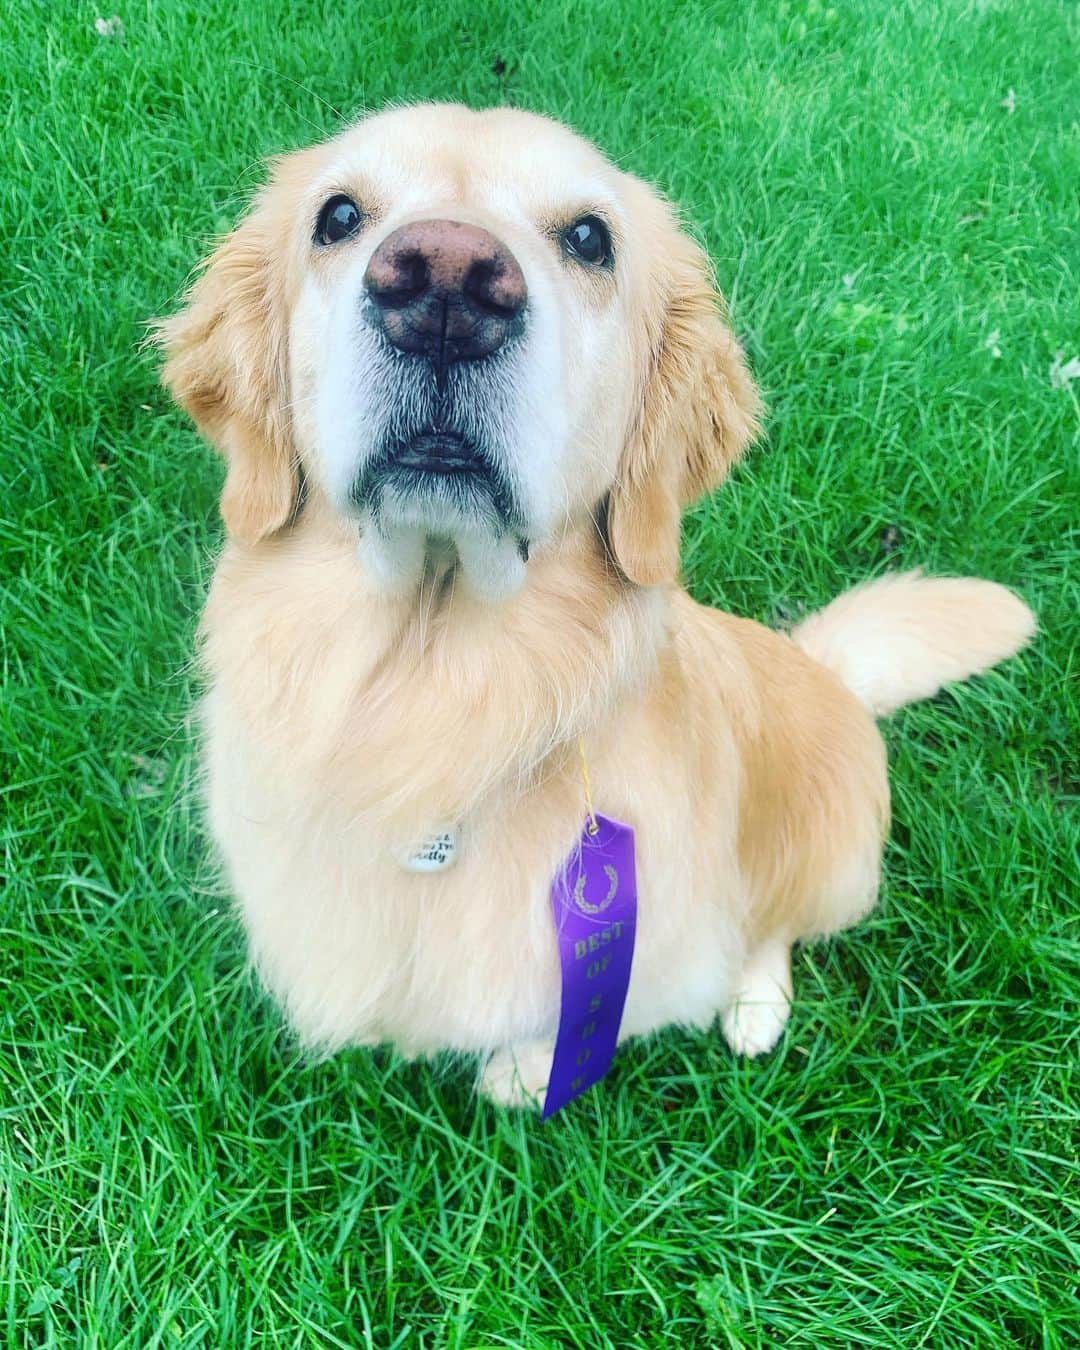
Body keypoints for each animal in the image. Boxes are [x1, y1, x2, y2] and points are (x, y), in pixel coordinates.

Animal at [155, 102, 1031, 1096]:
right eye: (338, 216)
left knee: (777, 930)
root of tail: (828, 670)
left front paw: (519, 1074)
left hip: (832, 859)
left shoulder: (664, 954)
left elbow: (571, 1029)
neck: (432, 702)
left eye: (588, 238)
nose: (445, 283)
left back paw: (756, 1007)